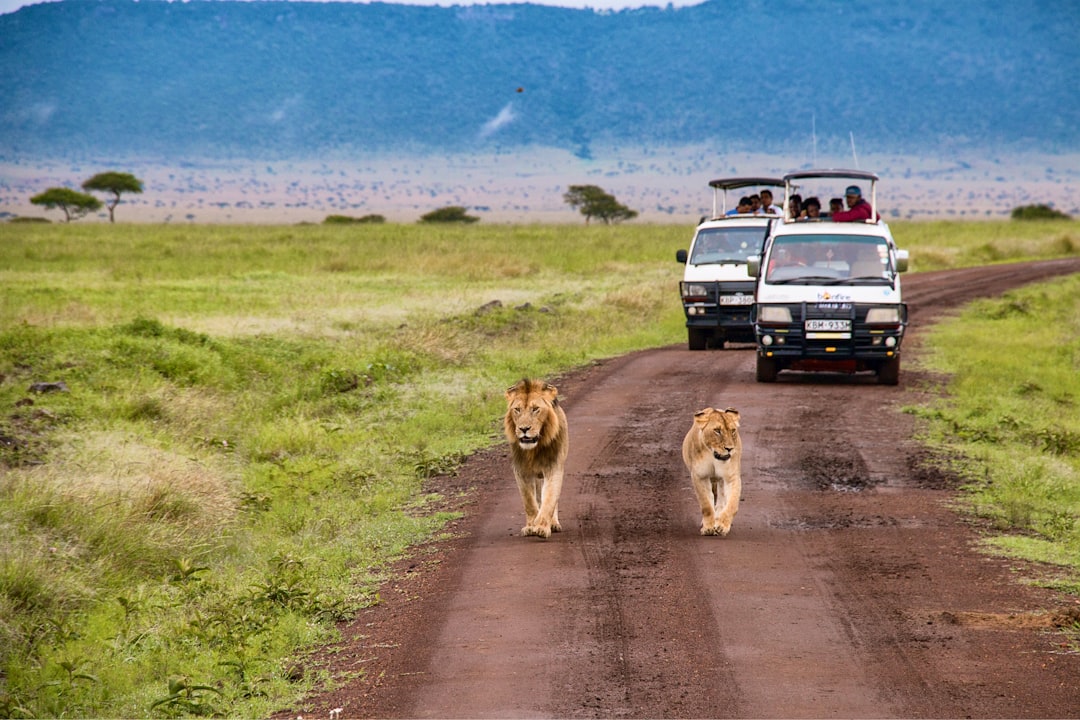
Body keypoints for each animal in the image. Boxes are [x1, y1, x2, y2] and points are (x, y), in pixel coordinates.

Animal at [505, 379, 570, 537]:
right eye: (517, 409)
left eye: (535, 409)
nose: (524, 429)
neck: (533, 450)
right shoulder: (521, 471)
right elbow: (529, 501)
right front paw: (531, 526)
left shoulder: (554, 468)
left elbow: (549, 499)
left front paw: (541, 527)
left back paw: (554, 523)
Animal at [682, 405, 743, 535]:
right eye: (717, 431)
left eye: (733, 430)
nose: (730, 448)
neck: (714, 456)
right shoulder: (700, 476)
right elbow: (706, 504)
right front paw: (708, 528)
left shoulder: (731, 476)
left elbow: (732, 504)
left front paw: (722, 526)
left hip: (720, 480)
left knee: (721, 499)